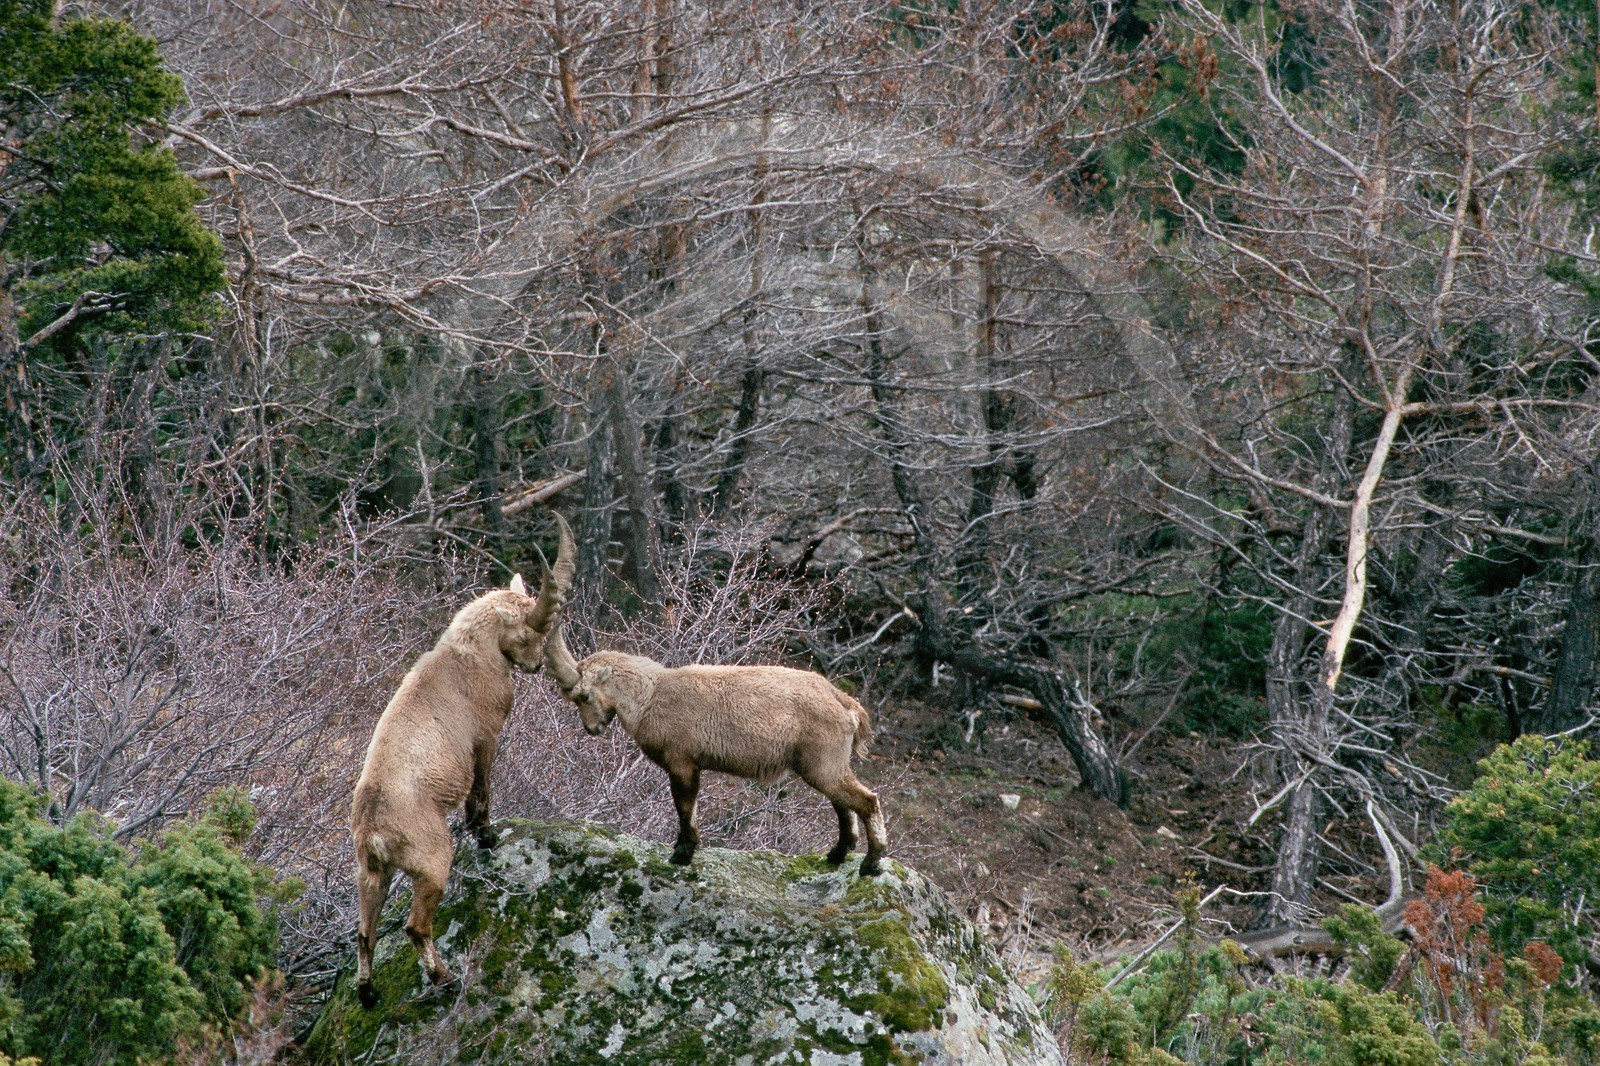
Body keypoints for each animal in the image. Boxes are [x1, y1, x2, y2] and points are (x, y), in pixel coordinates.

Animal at [350, 516, 574, 1008]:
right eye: (529, 632)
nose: (534, 665)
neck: (466, 656)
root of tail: (374, 829)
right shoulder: (485, 737)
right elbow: (481, 788)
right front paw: (486, 836)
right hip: (433, 860)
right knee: (416, 926)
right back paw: (445, 979)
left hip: (371, 874)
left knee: (364, 932)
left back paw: (368, 994)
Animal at [544, 618, 887, 875]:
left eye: (584, 695)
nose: (592, 728)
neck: (652, 695)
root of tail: (844, 703)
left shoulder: (681, 761)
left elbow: (684, 805)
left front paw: (682, 853)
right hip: (826, 765)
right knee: (843, 802)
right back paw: (837, 855)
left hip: (822, 763)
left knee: (866, 800)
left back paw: (871, 863)